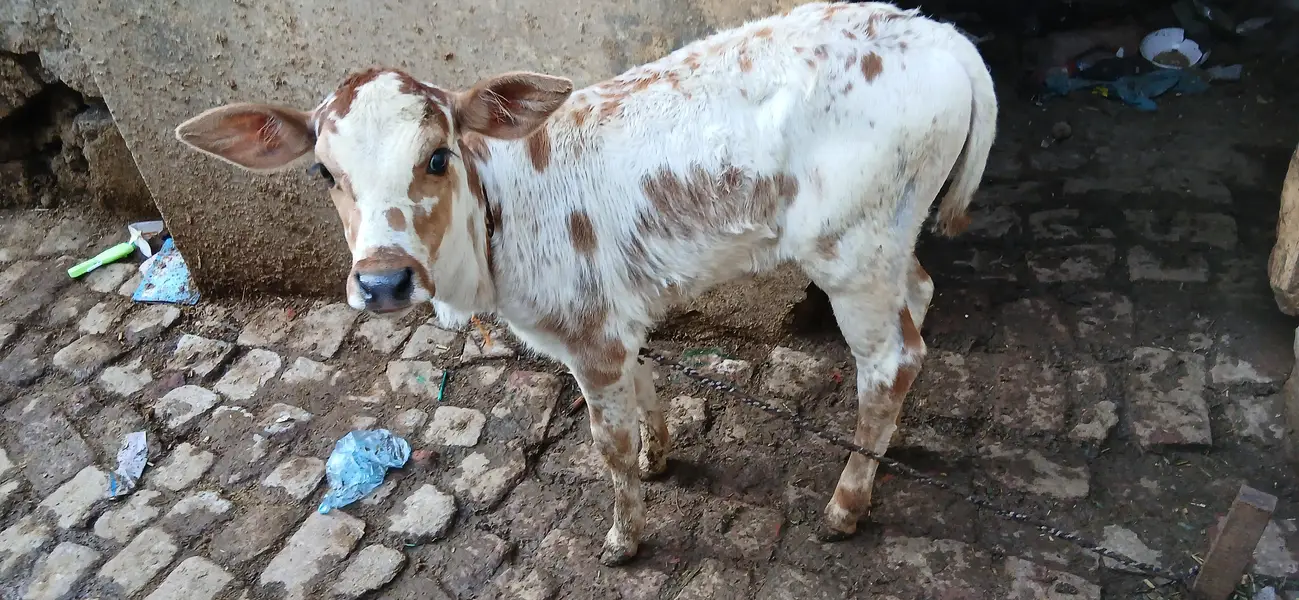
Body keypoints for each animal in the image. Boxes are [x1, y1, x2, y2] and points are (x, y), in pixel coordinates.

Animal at [174, 1, 996, 566]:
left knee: (888, 361)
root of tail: (940, 34)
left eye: (437, 156)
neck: (498, 219)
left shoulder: (588, 336)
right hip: (891, 235)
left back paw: (847, 502)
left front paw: (624, 537)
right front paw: (660, 457)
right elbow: (647, 385)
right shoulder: (615, 315)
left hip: (851, 249)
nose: (381, 281)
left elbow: (608, 443)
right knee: (919, 300)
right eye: (323, 172)